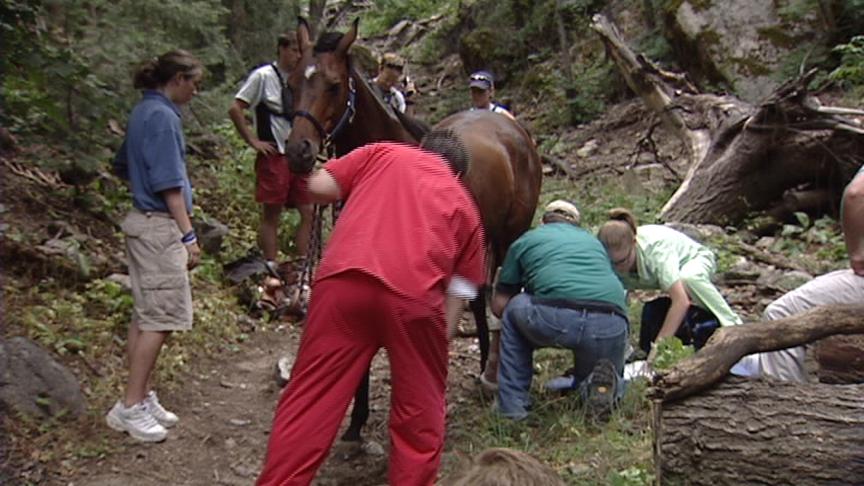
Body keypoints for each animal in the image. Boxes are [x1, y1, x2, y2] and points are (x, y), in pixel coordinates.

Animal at [284, 19, 540, 442]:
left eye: (334, 85)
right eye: (290, 83)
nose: (298, 151)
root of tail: (511, 127)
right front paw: (356, 420)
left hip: (509, 238)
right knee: (479, 297)